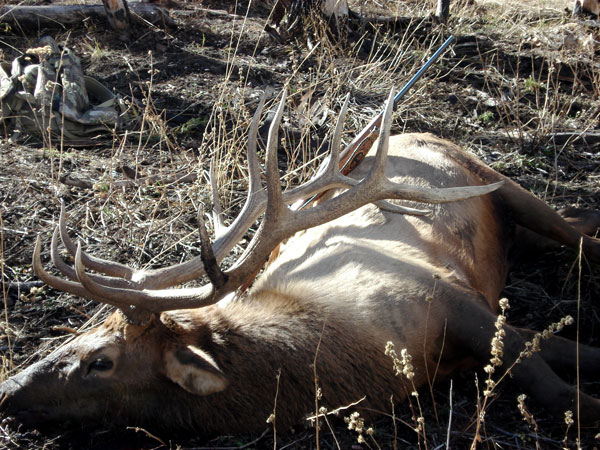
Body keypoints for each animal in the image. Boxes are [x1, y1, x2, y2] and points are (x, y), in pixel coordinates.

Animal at [1, 91, 600, 436]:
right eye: (76, 336)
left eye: (99, 360)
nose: (8, 389)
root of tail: (416, 128)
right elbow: (558, 348)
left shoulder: (449, 294)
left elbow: (553, 385)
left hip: (500, 182)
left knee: (577, 232)